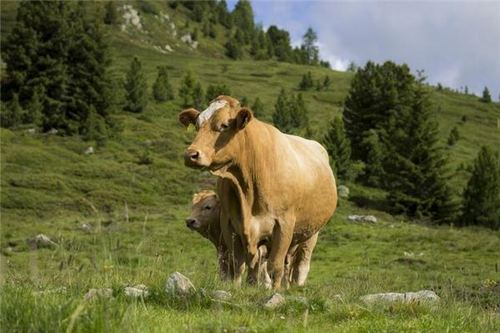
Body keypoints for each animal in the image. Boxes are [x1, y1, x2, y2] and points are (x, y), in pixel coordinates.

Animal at [180, 96, 336, 288]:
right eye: (197, 124)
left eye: (224, 125)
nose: (191, 155)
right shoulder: (230, 225)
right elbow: (239, 266)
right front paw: (241, 288)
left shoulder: (284, 225)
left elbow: (274, 267)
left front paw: (272, 290)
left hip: (311, 233)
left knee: (300, 266)